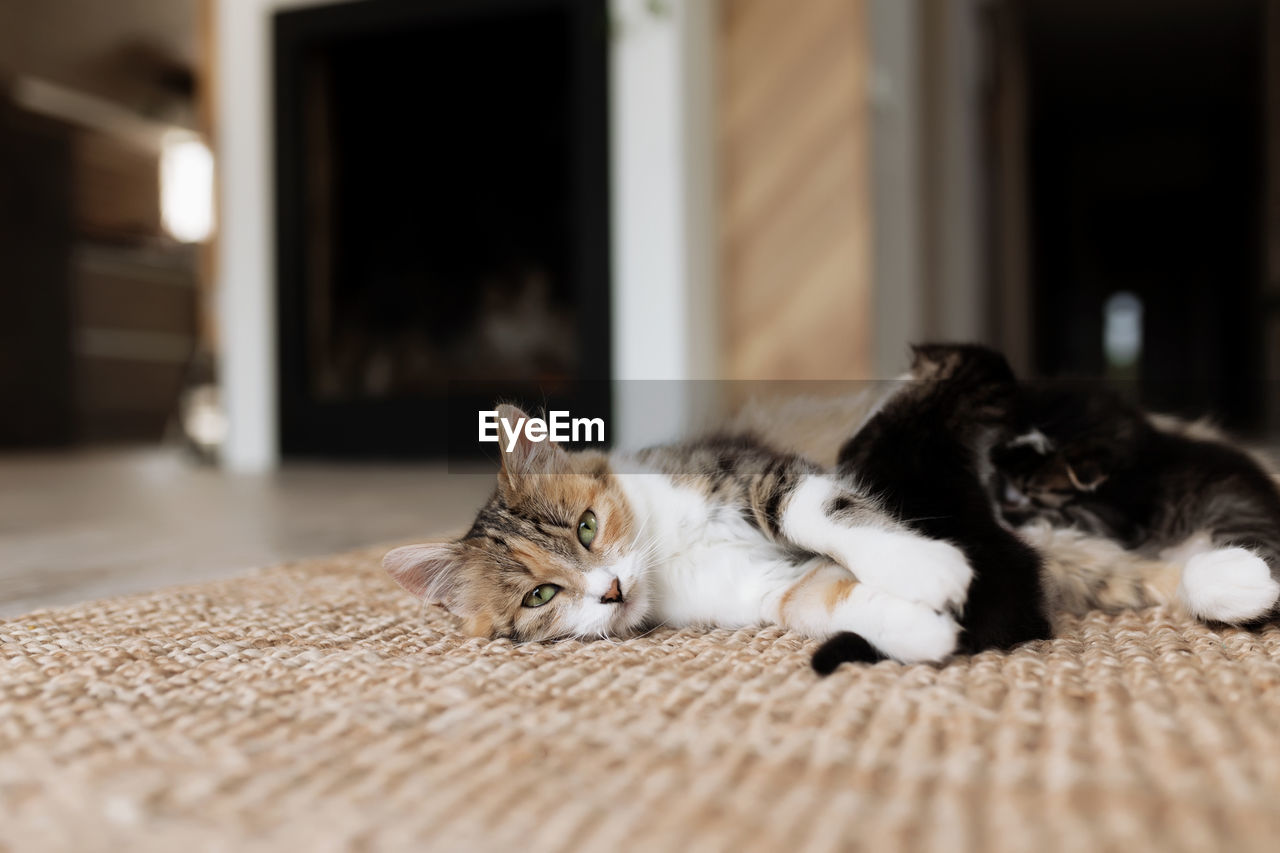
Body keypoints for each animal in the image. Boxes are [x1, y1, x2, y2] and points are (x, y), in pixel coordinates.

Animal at [384, 402, 972, 660]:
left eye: (587, 527)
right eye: (540, 596)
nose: (612, 589)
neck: (669, 558)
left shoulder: (751, 470)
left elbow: (816, 512)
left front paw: (926, 567)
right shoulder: (761, 586)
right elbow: (822, 600)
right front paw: (925, 629)